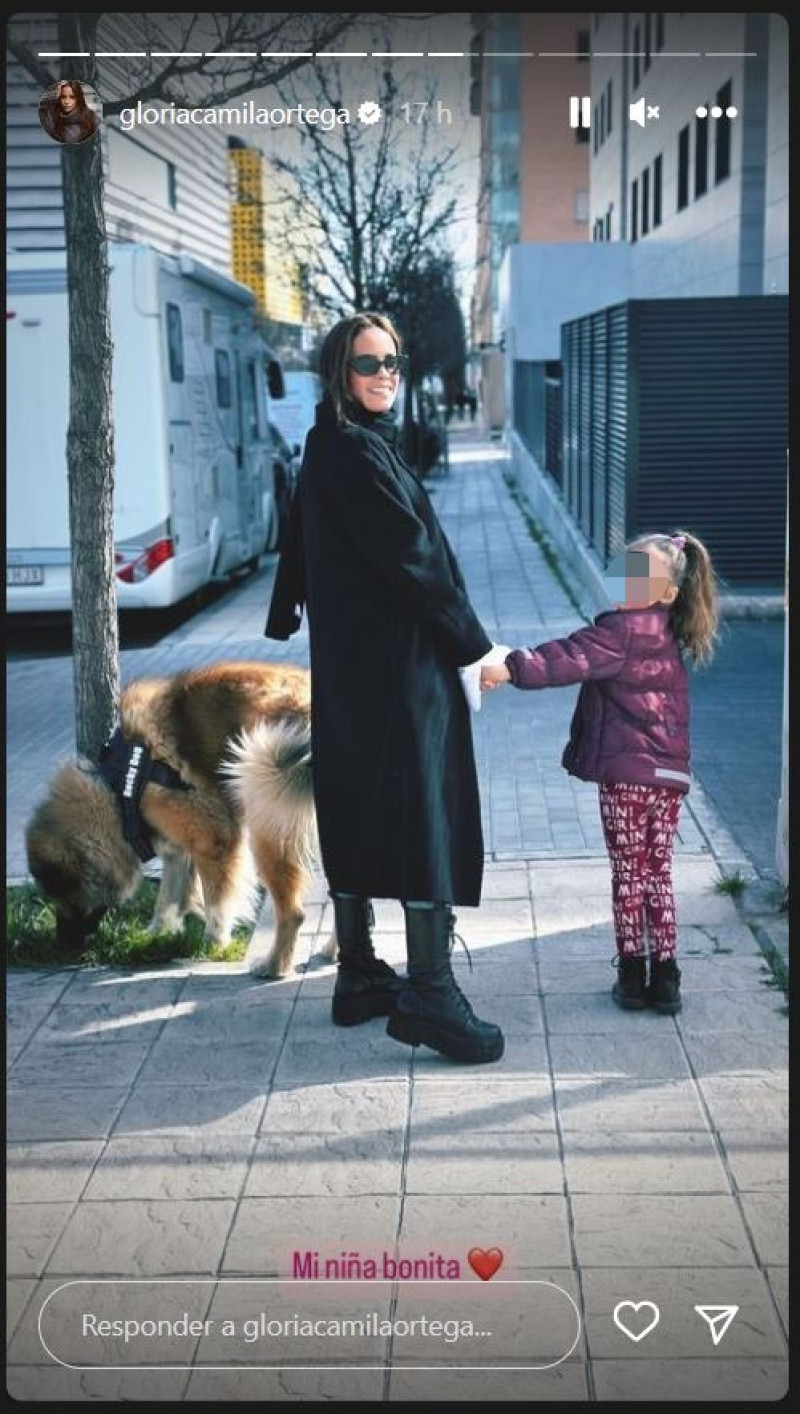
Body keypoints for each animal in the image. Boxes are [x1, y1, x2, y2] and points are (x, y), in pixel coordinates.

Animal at [23, 658, 333, 972]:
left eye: (63, 898)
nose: (62, 946)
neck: (119, 786)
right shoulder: (178, 846)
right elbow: (169, 895)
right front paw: (155, 934)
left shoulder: (211, 838)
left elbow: (216, 902)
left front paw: (213, 943)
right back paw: (328, 952)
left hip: (267, 824)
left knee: (294, 912)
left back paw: (275, 966)